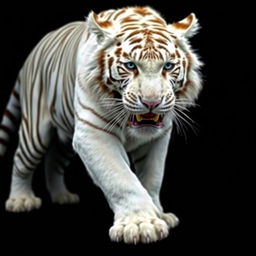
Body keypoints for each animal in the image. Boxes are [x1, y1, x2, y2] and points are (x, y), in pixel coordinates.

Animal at [0, 6, 202, 244]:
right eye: (130, 65)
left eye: (168, 66)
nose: (151, 102)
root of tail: (34, 51)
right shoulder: (93, 133)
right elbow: (121, 179)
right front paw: (141, 225)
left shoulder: (158, 137)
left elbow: (153, 177)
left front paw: (159, 214)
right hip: (35, 132)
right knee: (21, 160)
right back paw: (21, 200)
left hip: (65, 138)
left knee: (54, 161)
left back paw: (62, 196)